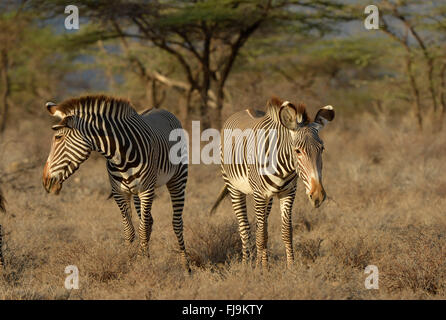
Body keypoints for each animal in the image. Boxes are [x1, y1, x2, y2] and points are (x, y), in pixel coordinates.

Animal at [43, 95, 192, 272]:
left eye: (58, 138)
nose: (45, 181)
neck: (120, 156)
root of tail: (161, 109)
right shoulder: (119, 192)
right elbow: (130, 230)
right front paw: (130, 263)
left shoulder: (146, 190)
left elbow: (141, 230)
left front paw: (141, 266)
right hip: (136, 193)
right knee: (149, 221)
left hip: (178, 178)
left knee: (176, 222)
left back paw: (186, 266)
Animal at [210, 97, 334, 268]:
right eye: (297, 151)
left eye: (322, 149)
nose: (318, 196)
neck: (284, 168)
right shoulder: (260, 194)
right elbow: (261, 235)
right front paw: (260, 270)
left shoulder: (288, 193)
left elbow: (286, 232)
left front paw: (290, 268)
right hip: (234, 187)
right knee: (245, 228)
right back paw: (246, 265)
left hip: (268, 198)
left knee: (261, 226)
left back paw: (260, 263)